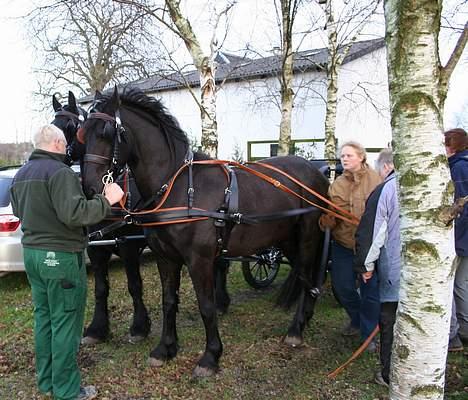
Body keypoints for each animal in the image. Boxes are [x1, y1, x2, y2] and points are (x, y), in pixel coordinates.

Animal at [51, 91, 151, 344]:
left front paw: (139, 326)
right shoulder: (95, 248)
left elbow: (134, 285)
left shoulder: (127, 246)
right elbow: (100, 288)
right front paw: (97, 328)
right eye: (51, 123)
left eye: (71, 127)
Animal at [79, 87, 330, 378]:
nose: (90, 187)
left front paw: (210, 357)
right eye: (83, 134)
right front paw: (165, 349)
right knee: (305, 277)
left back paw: (296, 329)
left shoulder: (199, 260)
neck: (177, 187)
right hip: (287, 238)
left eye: (106, 132)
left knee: (306, 276)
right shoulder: (166, 258)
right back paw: (303, 321)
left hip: (308, 237)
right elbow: (168, 301)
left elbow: (207, 306)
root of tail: (317, 172)